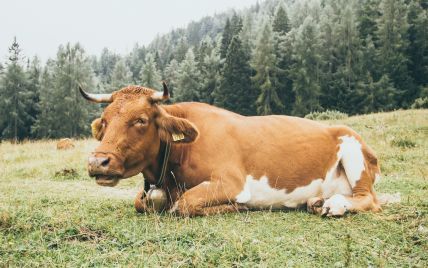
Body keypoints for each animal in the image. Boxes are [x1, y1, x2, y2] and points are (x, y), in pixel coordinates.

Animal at [79, 84, 382, 218]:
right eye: (104, 121)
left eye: (141, 120)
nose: (97, 161)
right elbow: (140, 202)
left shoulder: (231, 182)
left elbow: (184, 204)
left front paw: (237, 206)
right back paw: (316, 201)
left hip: (353, 150)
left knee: (368, 199)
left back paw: (335, 205)